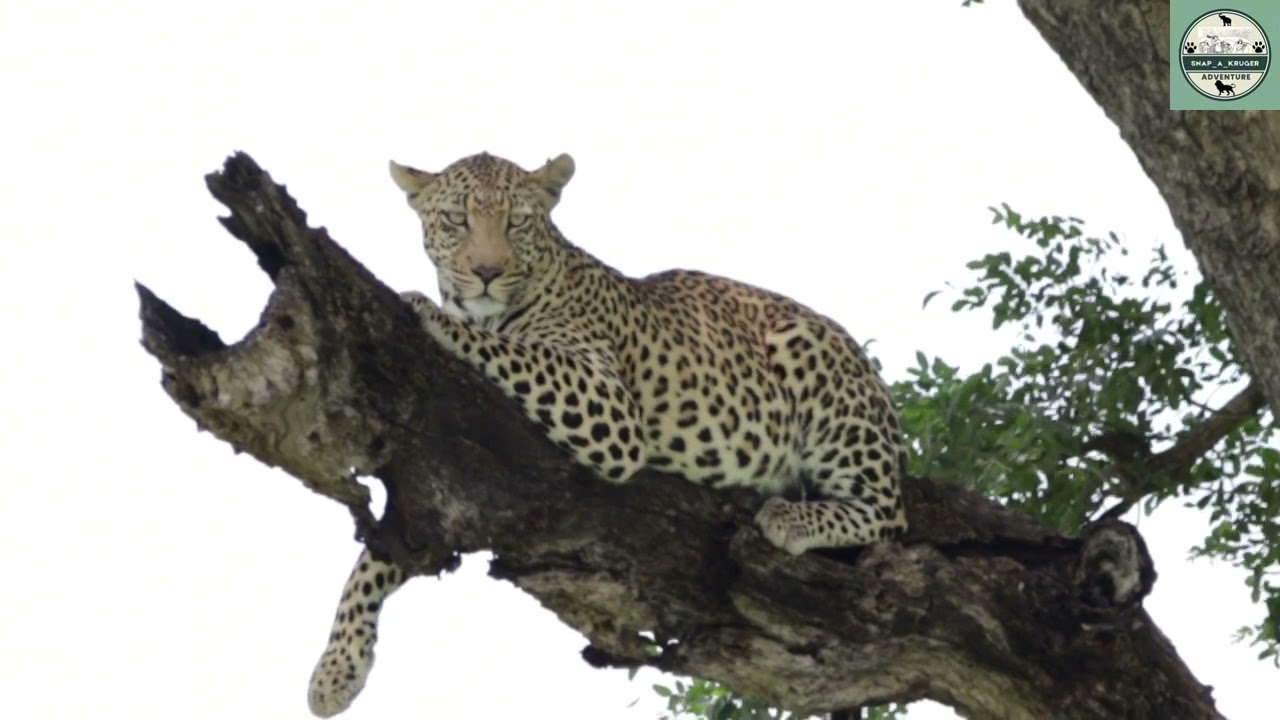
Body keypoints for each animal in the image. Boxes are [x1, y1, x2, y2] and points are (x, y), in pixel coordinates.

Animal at [307, 151, 909, 717]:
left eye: (516, 223)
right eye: (457, 220)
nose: (485, 271)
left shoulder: (607, 403)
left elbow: (509, 349)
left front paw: (428, 311)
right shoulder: (435, 489)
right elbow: (374, 558)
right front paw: (336, 669)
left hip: (810, 358)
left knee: (888, 515)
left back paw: (789, 517)